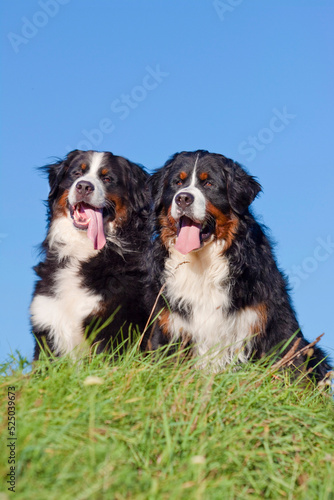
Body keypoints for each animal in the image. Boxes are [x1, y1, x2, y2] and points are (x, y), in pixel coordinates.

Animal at [31, 148, 149, 360]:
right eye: (77, 173)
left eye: (107, 178)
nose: (84, 186)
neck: (84, 250)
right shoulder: (48, 324)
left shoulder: (114, 326)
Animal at [147, 150, 330, 380]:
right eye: (177, 183)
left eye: (209, 184)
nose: (183, 198)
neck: (202, 263)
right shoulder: (168, 325)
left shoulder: (274, 323)